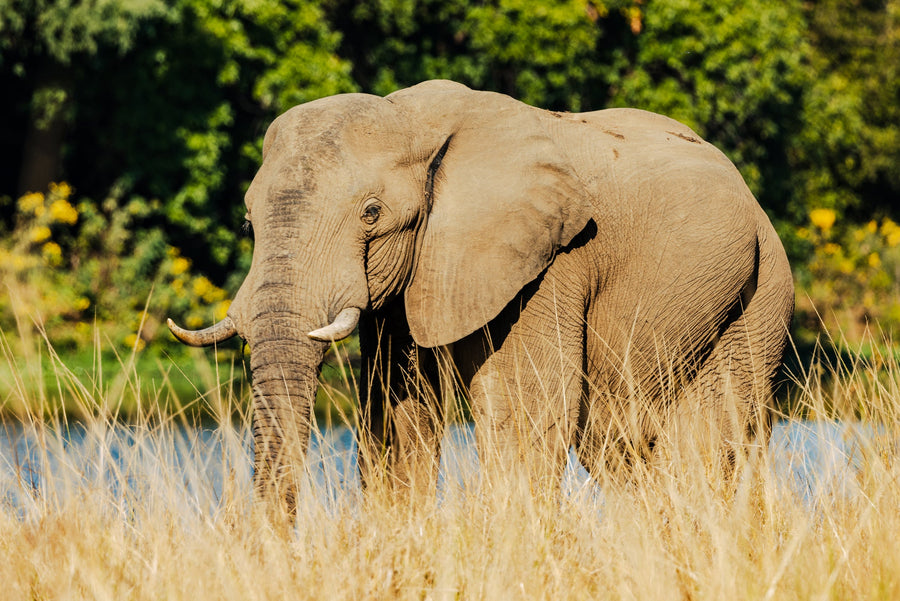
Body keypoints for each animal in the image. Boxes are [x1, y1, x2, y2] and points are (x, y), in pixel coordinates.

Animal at [167, 80, 794, 511]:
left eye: (371, 214)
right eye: (248, 221)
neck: (412, 121)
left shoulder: (550, 262)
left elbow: (523, 414)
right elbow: (396, 414)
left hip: (763, 290)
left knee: (706, 446)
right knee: (619, 448)